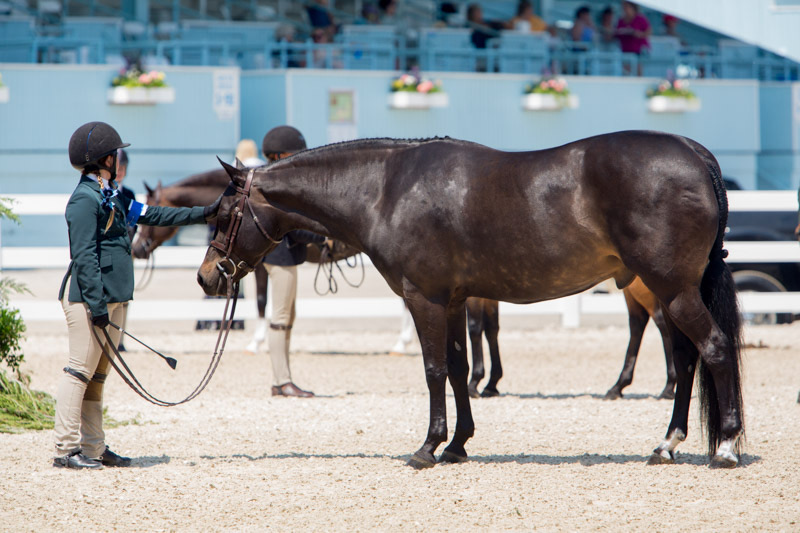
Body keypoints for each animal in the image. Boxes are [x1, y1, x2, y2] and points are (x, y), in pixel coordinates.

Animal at [197, 131, 748, 468]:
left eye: (222, 215)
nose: (206, 277)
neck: (387, 190)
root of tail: (693, 152)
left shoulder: (424, 298)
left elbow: (434, 370)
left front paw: (427, 447)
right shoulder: (455, 300)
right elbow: (461, 368)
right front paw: (459, 444)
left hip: (671, 290)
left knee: (714, 350)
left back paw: (723, 447)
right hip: (670, 292)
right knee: (686, 358)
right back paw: (668, 443)